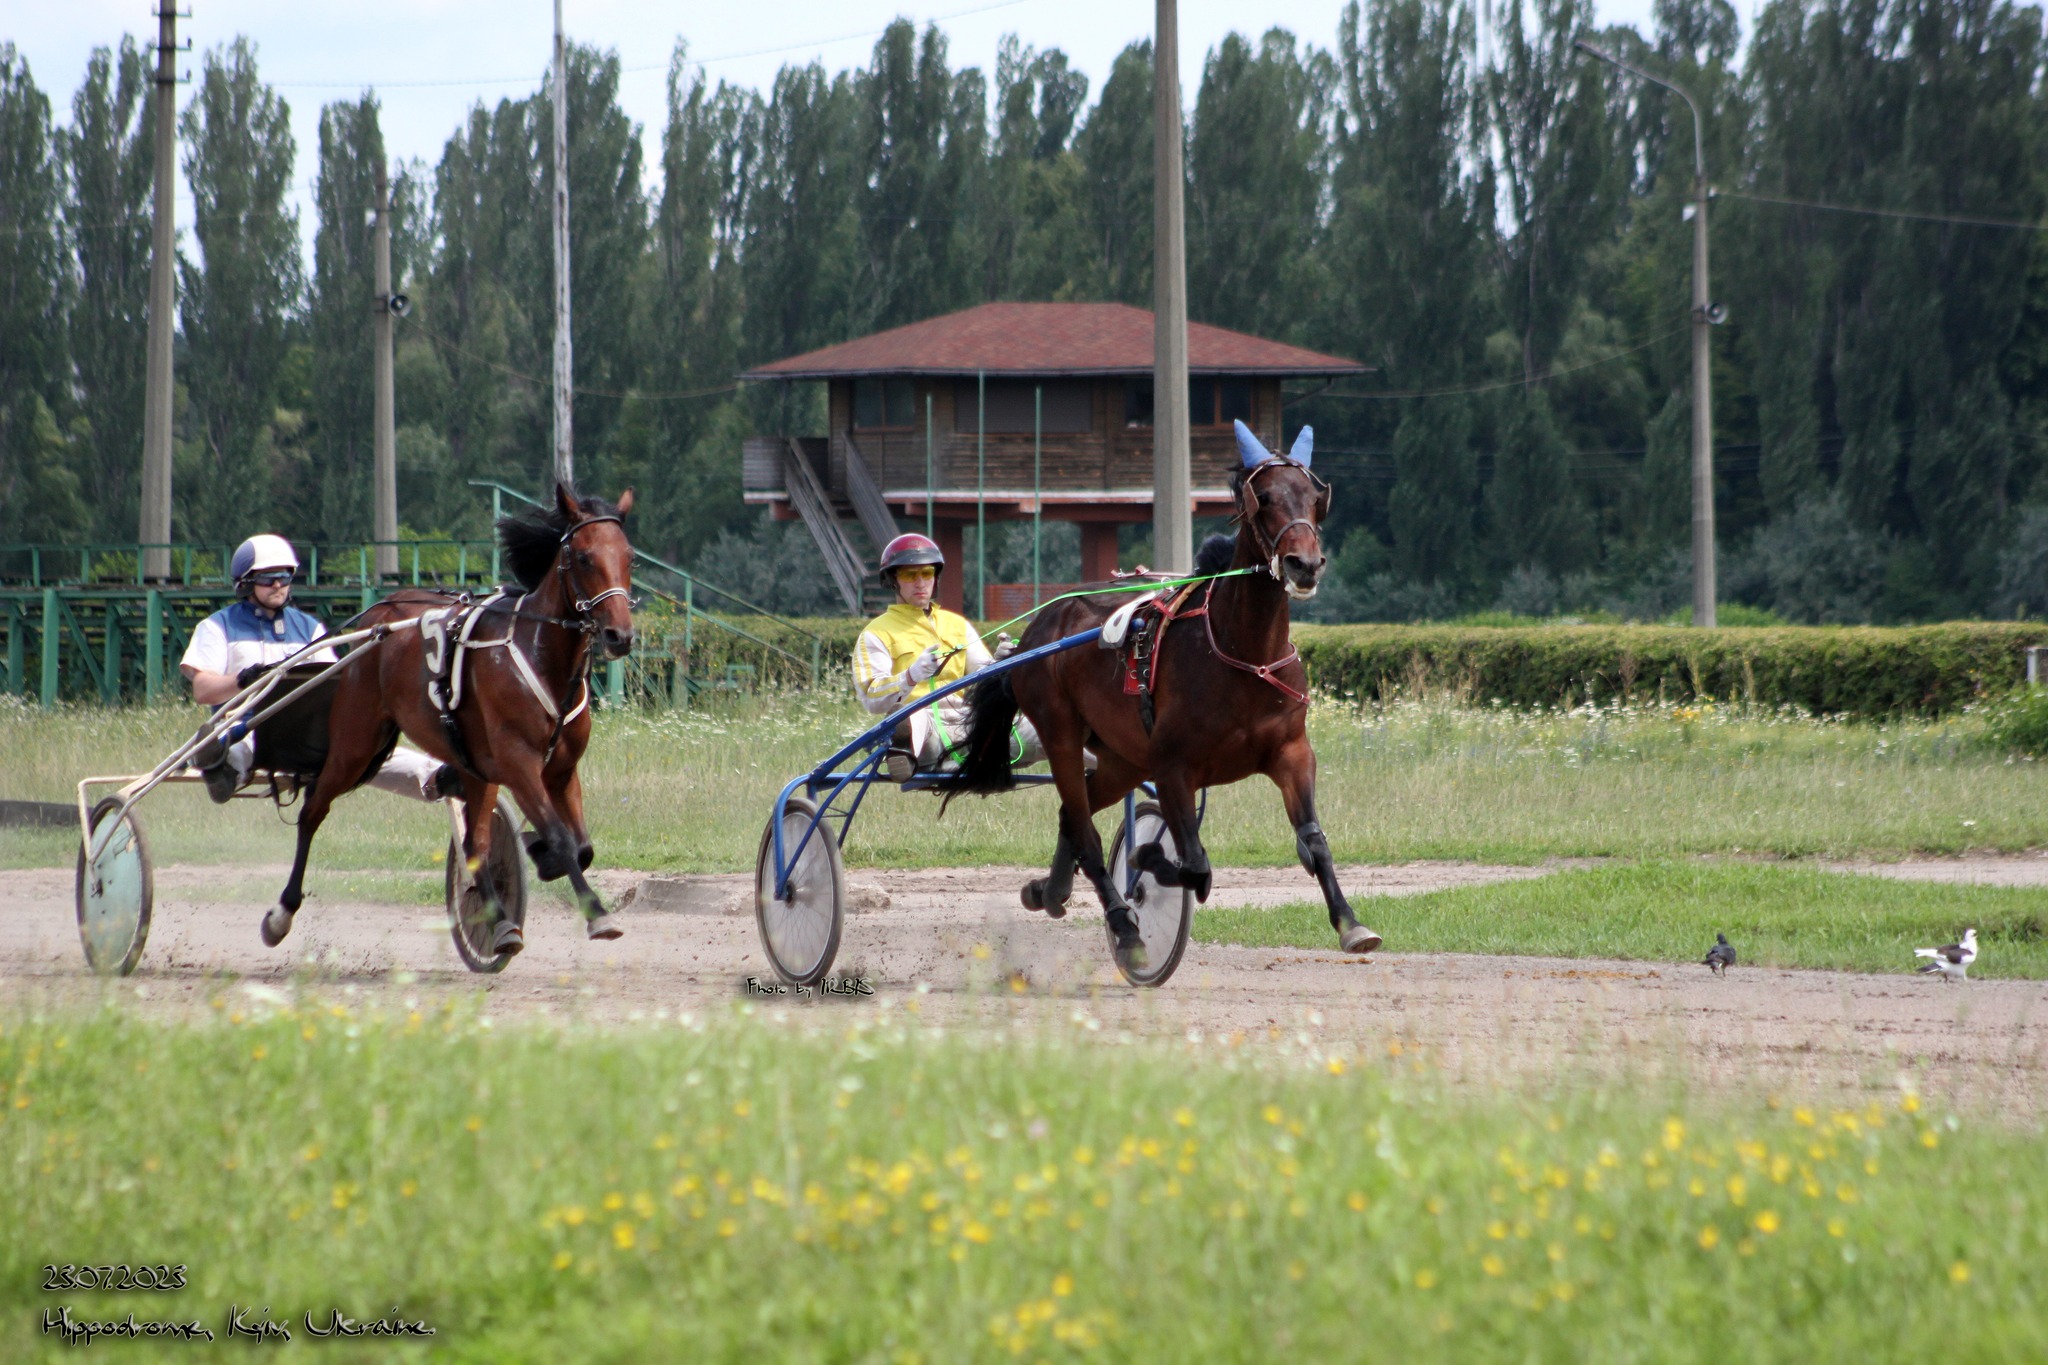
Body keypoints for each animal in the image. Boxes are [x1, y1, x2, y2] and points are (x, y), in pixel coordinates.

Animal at [954, 421, 1376, 978]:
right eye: (1263, 497)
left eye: (1313, 497)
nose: (1303, 563)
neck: (1246, 654)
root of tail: (1036, 631)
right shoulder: (1175, 767)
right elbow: (1195, 865)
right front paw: (1147, 861)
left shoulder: (1291, 752)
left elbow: (1314, 842)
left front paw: (1351, 923)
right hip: (1061, 732)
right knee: (1086, 832)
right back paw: (1127, 930)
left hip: (1123, 758)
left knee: (1074, 813)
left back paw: (1050, 890)